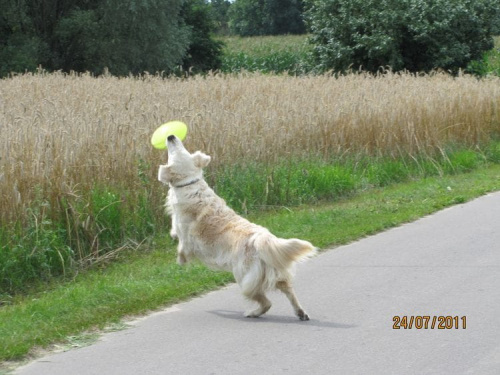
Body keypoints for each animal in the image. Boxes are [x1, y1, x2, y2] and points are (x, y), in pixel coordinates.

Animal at [157, 135, 316, 320]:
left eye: (174, 153)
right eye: (184, 149)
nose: (171, 136)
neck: (189, 183)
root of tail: (262, 239)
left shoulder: (186, 236)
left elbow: (181, 245)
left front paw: (180, 260)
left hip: (243, 277)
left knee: (266, 302)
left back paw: (252, 313)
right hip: (277, 271)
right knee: (288, 291)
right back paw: (300, 312)